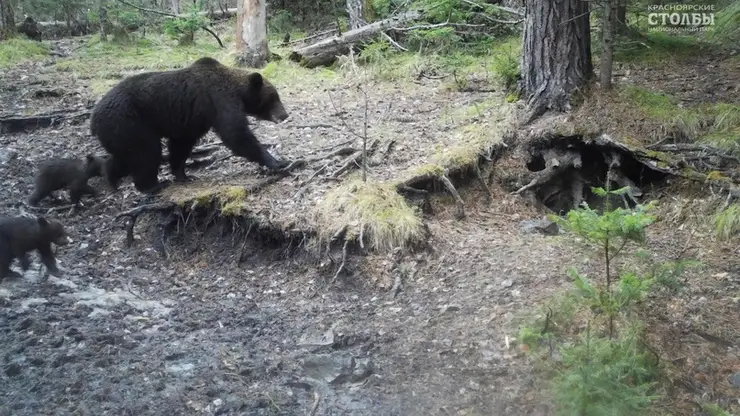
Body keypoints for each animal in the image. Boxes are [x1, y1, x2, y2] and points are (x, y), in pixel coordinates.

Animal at [89, 56, 292, 194]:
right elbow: (236, 134)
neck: (238, 91)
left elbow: (181, 144)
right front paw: (278, 161)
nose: (285, 115)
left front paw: (184, 174)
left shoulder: (193, 118)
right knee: (146, 152)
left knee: (125, 155)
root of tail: (94, 118)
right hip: (130, 122)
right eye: (274, 97)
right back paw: (152, 185)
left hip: (121, 131)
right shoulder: (219, 100)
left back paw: (111, 177)